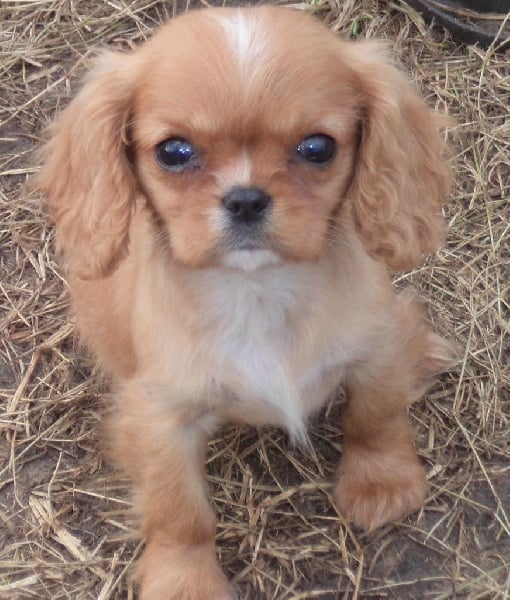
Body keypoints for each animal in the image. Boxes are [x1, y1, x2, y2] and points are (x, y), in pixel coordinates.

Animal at [36, 6, 455, 598]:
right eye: (174, 152)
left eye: (318, 147)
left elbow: (375, 416)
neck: (256, 291)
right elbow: (180, 513)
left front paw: (382, 485)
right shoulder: (161, 419)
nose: (246, 199)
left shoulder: (374, 351)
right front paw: (184, 581)